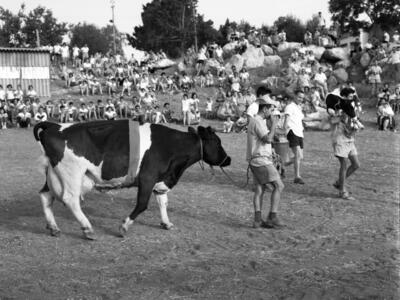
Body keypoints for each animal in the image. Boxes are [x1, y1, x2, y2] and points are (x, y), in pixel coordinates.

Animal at [33, 119, 231, 239]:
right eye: (218, 142)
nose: (228, 159)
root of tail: (53, 125)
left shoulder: (160, 180)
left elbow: (163, 202)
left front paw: (166, 223)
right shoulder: (147, 177)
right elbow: (142, 204)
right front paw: (124, 227)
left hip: (54, 174)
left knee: (45, 195)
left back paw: (53, 227)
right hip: (72, 173)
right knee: (70, 199)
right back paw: (87, 228)